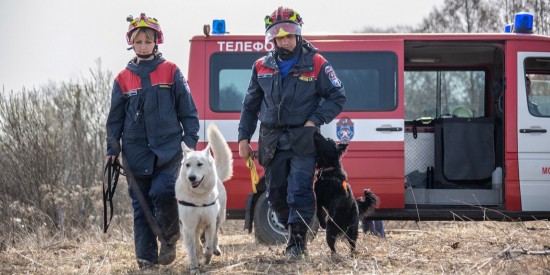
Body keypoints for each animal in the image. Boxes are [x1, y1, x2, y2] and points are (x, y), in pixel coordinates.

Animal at [177, 123, 233, 274]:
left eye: (200, 164)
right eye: (187, 165)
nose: (191, 178)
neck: (198, 198)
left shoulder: (209, 223)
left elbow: (208, 247)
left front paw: (206, 260)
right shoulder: (189, 227)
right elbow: (192, 250)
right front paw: (195, 267)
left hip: (219, 217)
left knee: (215, 237)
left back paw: (215, 249)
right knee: (198, 241)